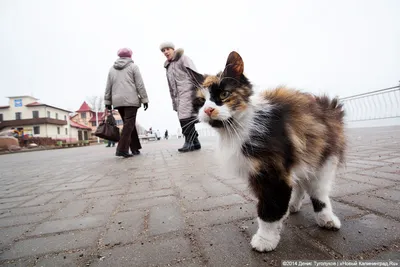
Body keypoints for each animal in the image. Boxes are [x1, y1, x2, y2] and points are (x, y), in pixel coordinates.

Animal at [186, 51, 346, 252]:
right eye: (200, 101)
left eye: (224, 94)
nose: (208, 109)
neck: (237, 128)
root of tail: (327, 104)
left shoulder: (273, 173)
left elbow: (269, 208)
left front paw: (265, 240)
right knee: (300, 183)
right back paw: (293, 206)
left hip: (324, 160)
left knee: (319, 192)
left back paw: (327, 219)